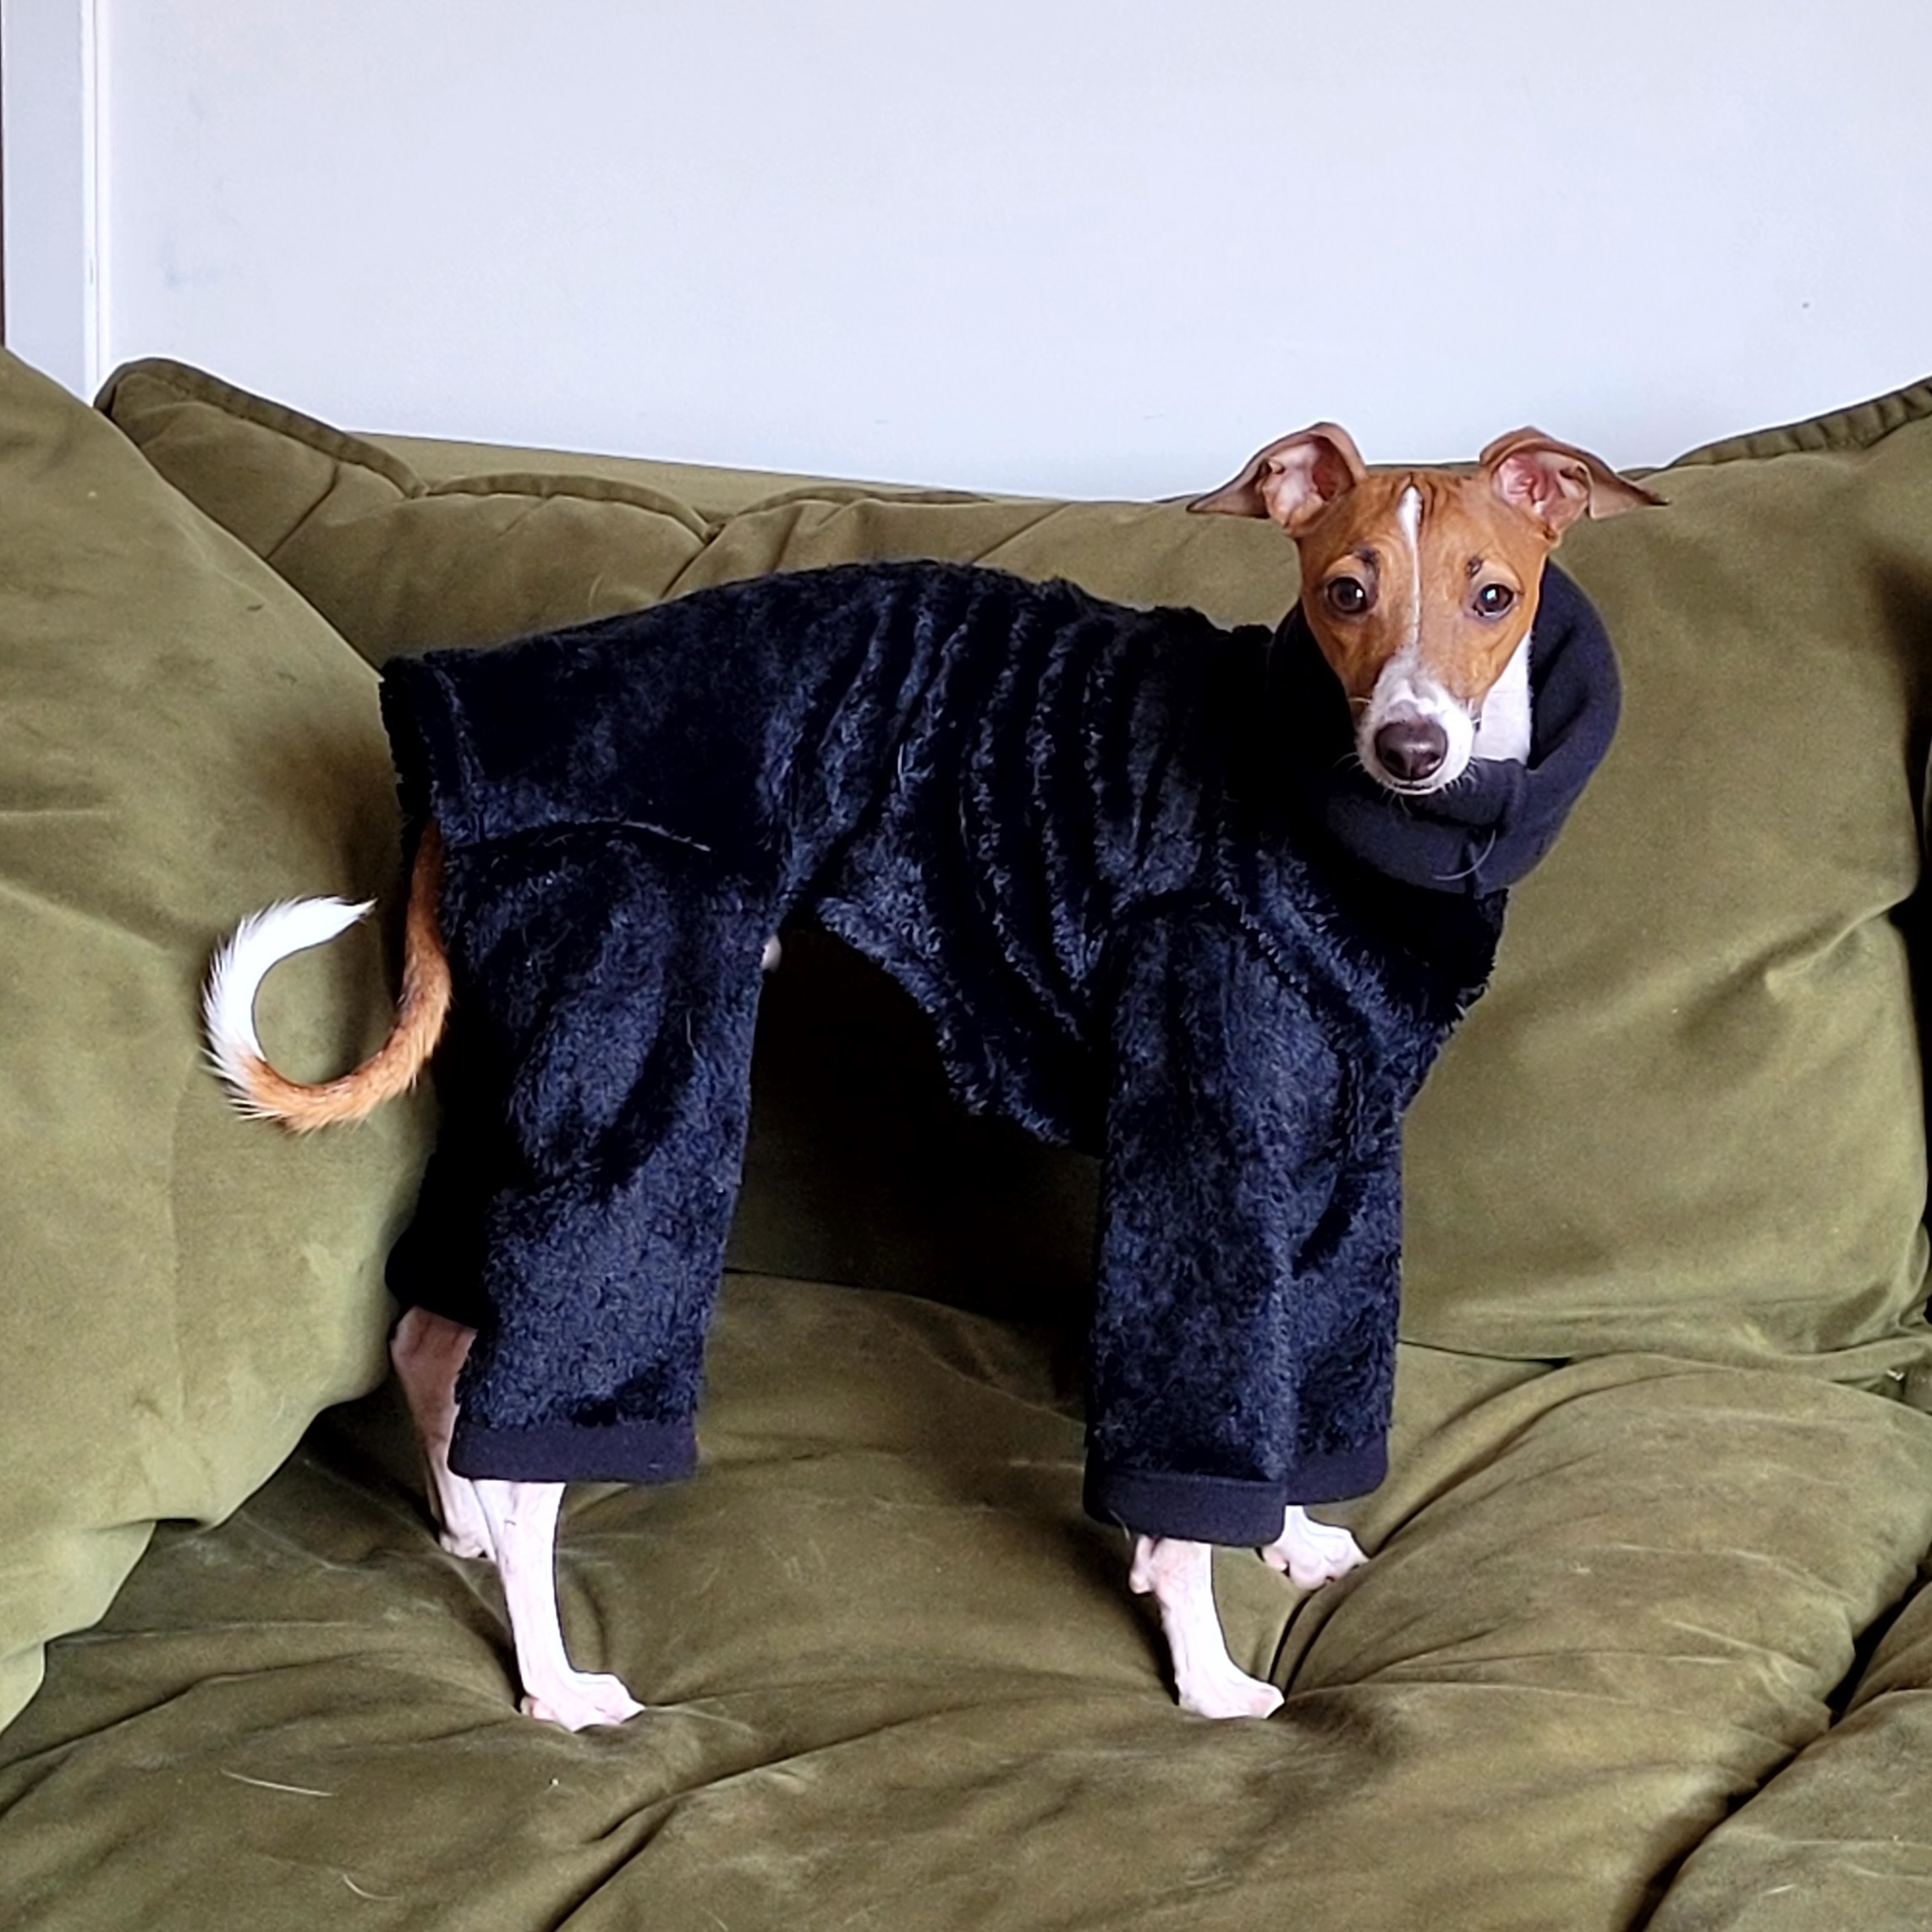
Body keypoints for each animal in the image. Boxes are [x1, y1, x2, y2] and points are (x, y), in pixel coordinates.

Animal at [204, 425, 1655, 1725]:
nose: (1412, 748)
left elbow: (1294, 1386)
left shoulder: (1338, 1163)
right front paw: (1209, 1679)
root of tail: (453, 764)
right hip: (638, 1069)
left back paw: (460, 1524)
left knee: (434, 1336)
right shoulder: (1205, 1163)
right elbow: (1186, 1479)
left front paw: (1292, 1539)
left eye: (1493, 594)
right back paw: (554, 1683)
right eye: (1344, 590)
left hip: (540, 1071)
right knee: (531, 1441)